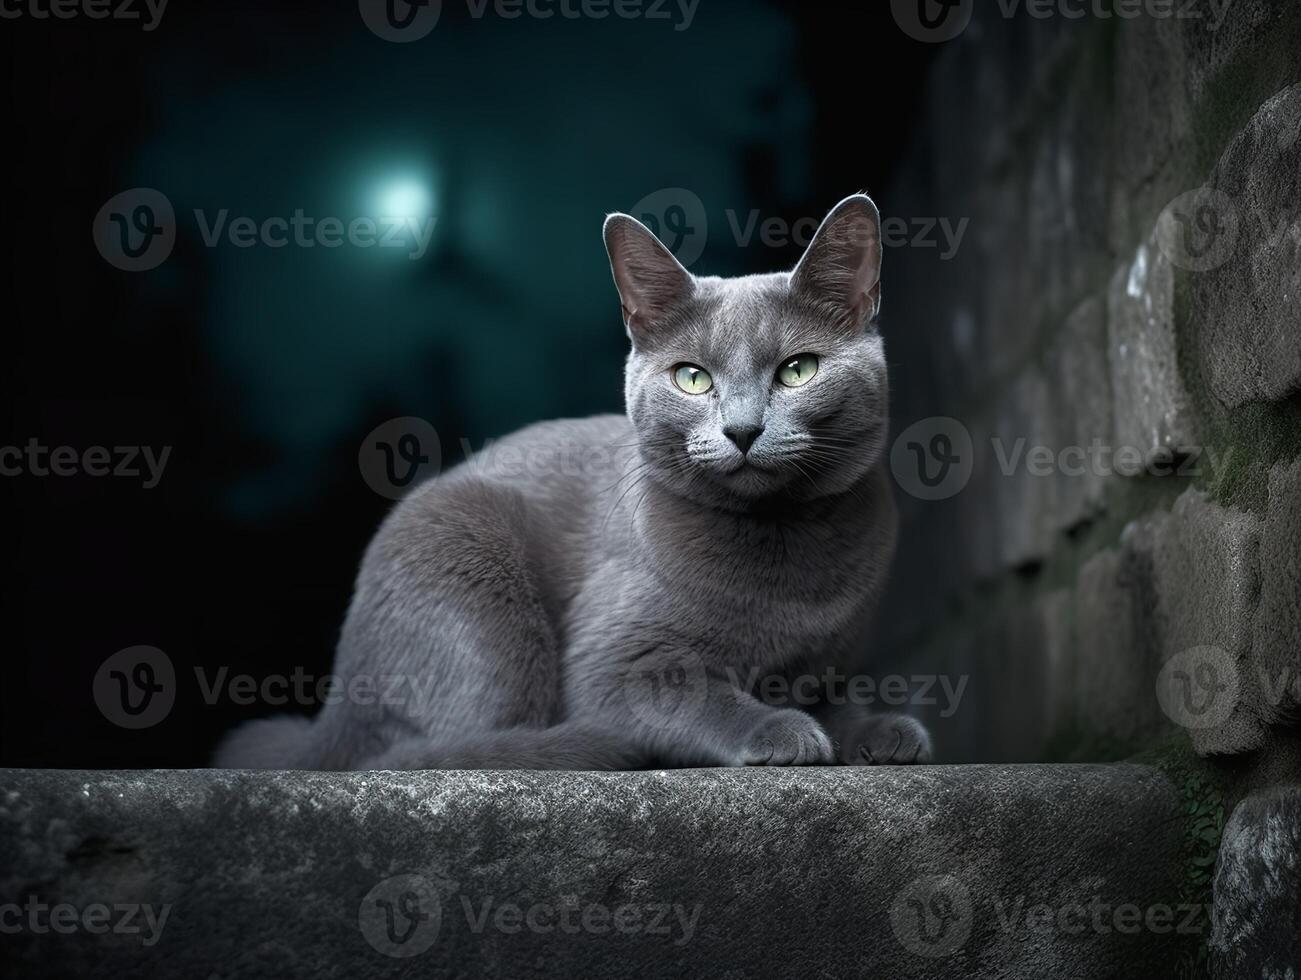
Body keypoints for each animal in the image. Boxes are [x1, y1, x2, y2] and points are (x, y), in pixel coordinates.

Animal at [221, 195, 936, 770]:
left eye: (797, 370)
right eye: (693, 378)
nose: (742, 429)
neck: (789, 566)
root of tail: (334, 711)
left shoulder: (832, 659)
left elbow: (840, 699)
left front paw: (883, 731)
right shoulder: (616, 664)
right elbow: (697, 694)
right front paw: (784, 731)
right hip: (479, 577)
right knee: (421, 753)